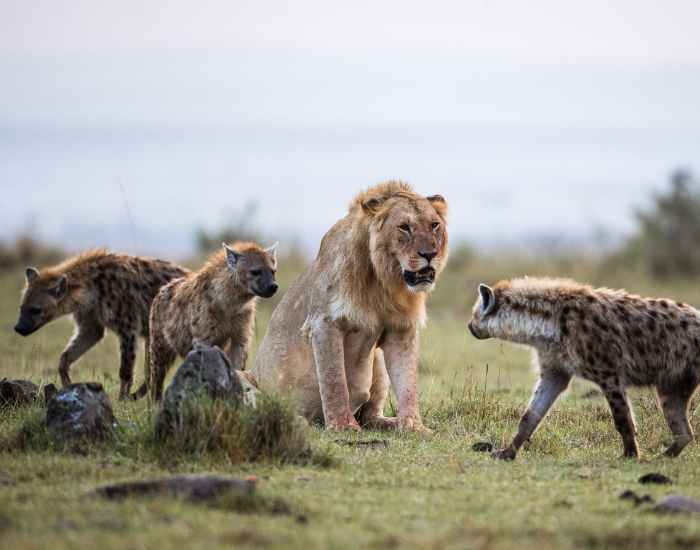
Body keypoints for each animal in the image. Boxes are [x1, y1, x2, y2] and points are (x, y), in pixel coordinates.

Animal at [249, 181, 449, 430]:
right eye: (404, 227)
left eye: (434, 225)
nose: (430, 254)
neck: (383, 281)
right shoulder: (323, 323)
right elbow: (335, 381)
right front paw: (343, 425)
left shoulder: (401, 328)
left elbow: (408, 383)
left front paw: (413, 427)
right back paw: (294, 419)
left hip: (377, 360)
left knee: (370, 417)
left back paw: (391, 423)